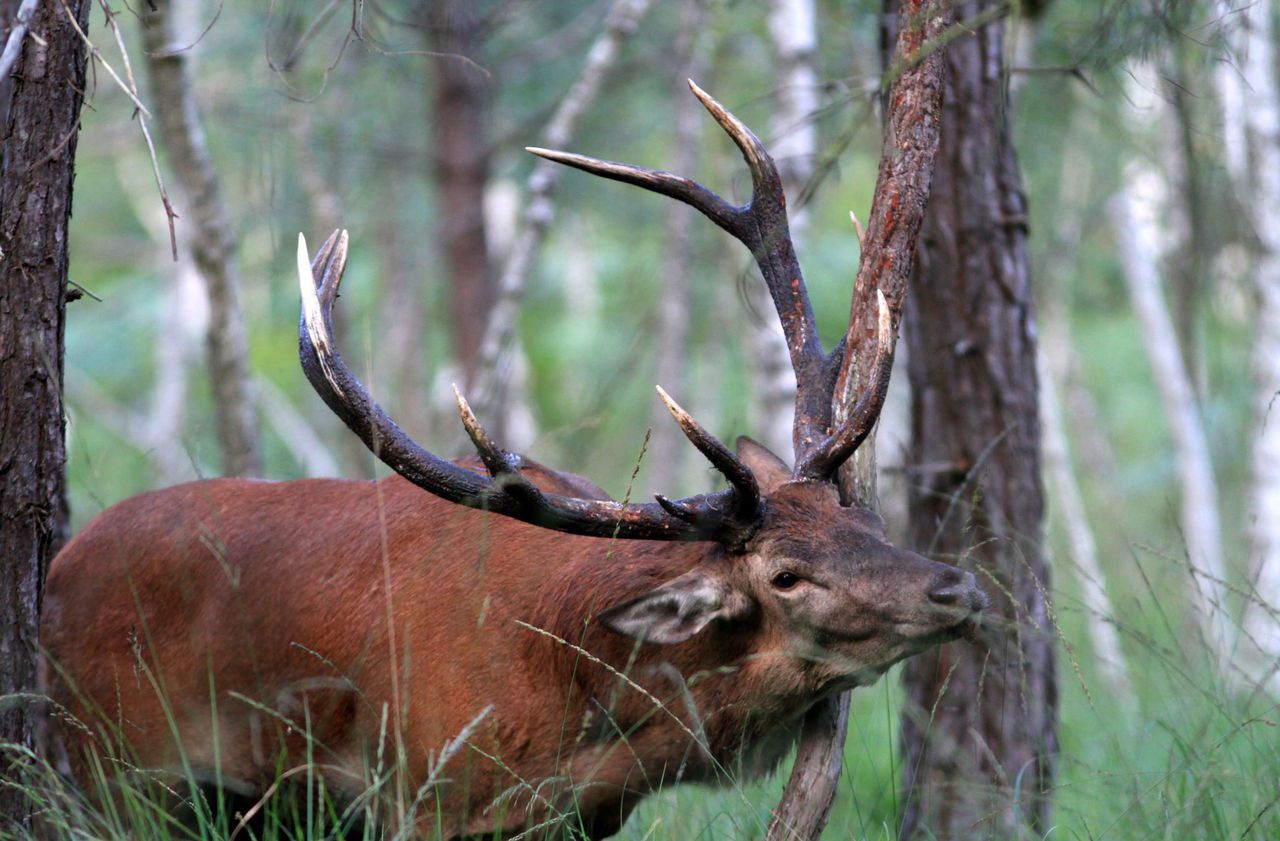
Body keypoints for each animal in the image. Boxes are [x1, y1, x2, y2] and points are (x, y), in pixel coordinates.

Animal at [41, 82, 983, 840]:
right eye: (784, 574)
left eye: (861, 518)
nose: (958, 586)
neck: (575, 724)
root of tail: (57, 568)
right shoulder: (417, 792)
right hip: (114, 767)